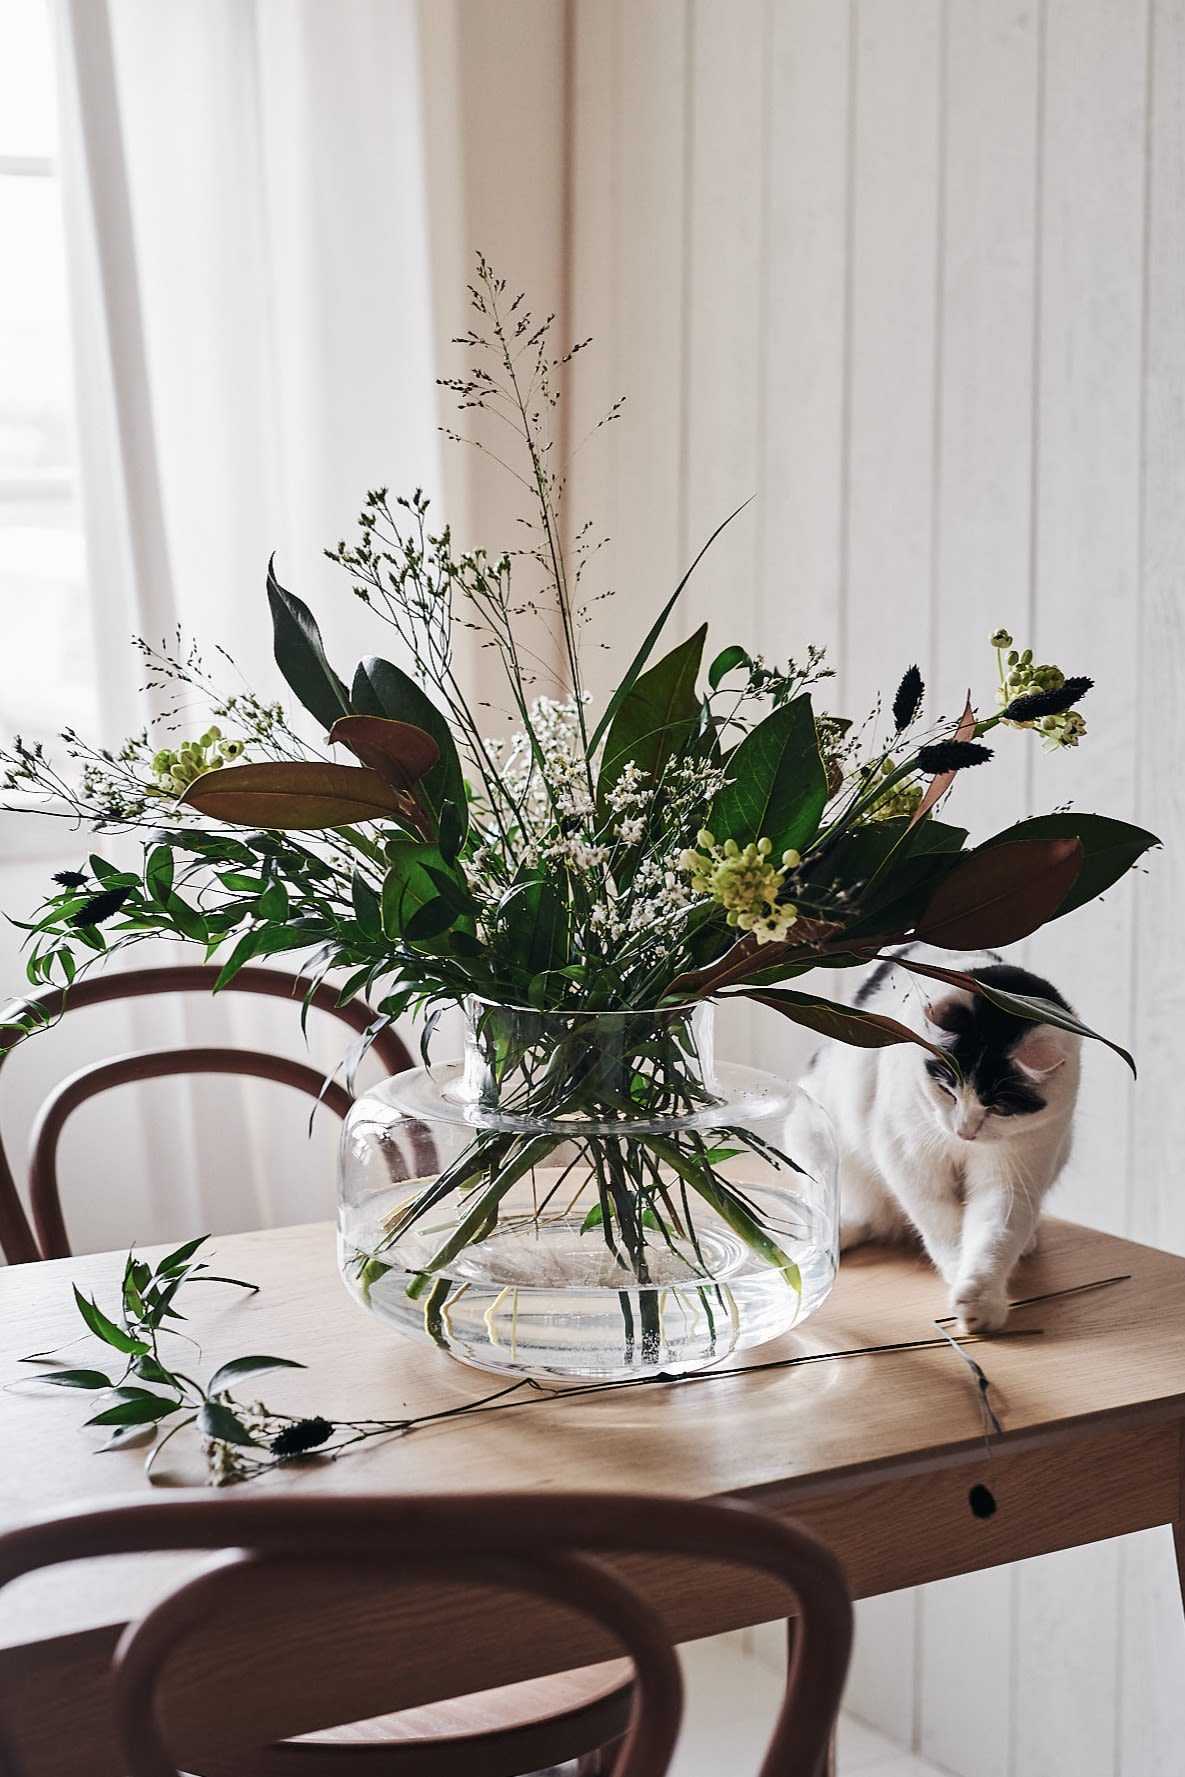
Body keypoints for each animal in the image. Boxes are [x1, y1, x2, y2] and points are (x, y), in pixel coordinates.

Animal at [810, 945, 1080, 1336]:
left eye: (998, 1108)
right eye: (947, 1091)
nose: (964, 1131)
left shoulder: (1015, 1170)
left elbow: (996, 1232)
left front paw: (981, 1298)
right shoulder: (908, 1156)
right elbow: (940, 1223)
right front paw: (955, 1269)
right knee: (865, 1215)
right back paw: (837, 1235)